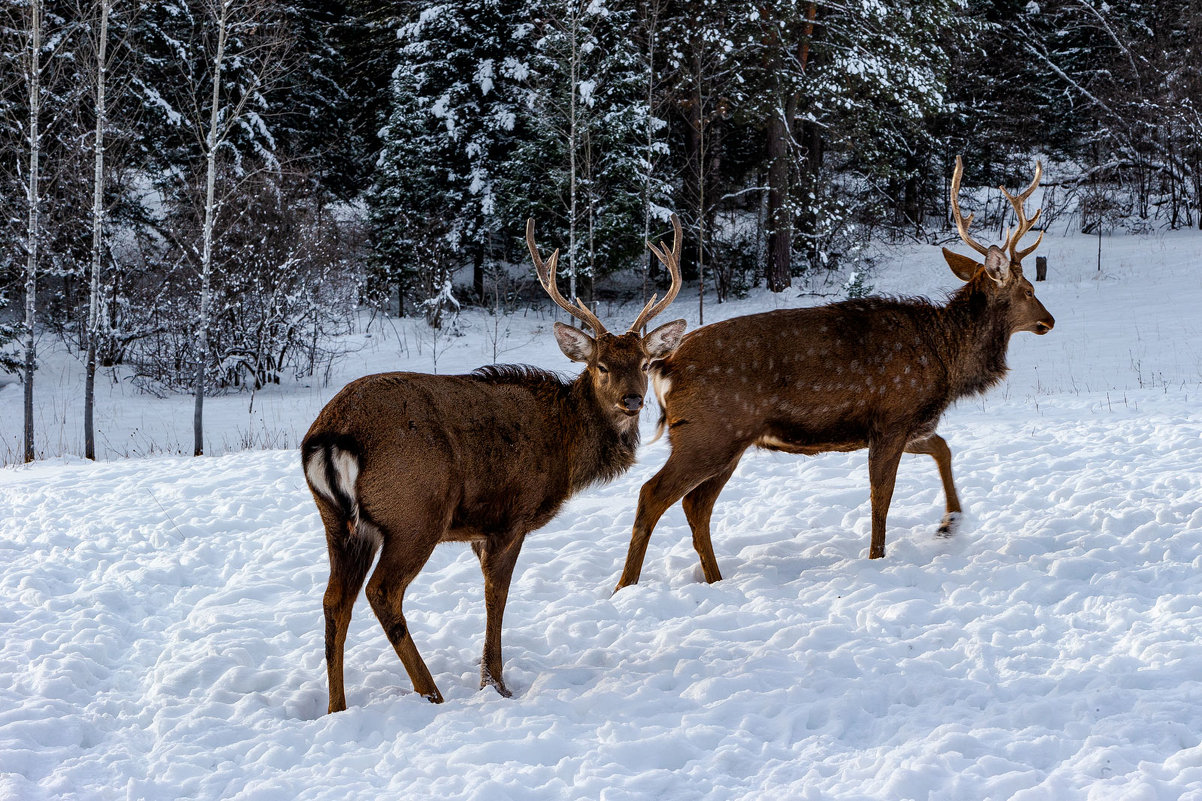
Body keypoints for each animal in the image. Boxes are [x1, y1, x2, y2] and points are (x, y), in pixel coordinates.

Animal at [302, 215, 687, 707]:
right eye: (601, 365)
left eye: (643, 361)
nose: (633, 400)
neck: (564, 446)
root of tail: (330, 435)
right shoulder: (512, 515)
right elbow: (496, 597)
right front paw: (496, 685)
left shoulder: (479, 530)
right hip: (415, 512)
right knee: (382, 592)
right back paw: (431, 694)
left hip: (338, 520)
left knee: (335, 600)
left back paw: (337, 707)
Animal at [615, 157, 1057, 591]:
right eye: (1029, 291)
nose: (1049, 320)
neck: (946, 359)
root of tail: (663, 366)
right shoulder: (893, 417)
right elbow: (882, 497)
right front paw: (878, 558)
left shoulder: (904, 424)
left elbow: (943, 448)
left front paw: (950, 522)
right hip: (709, 432)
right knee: (653, 493)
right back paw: (626, 586)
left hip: (726, 441)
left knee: (696, 504)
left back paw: (714, 580)